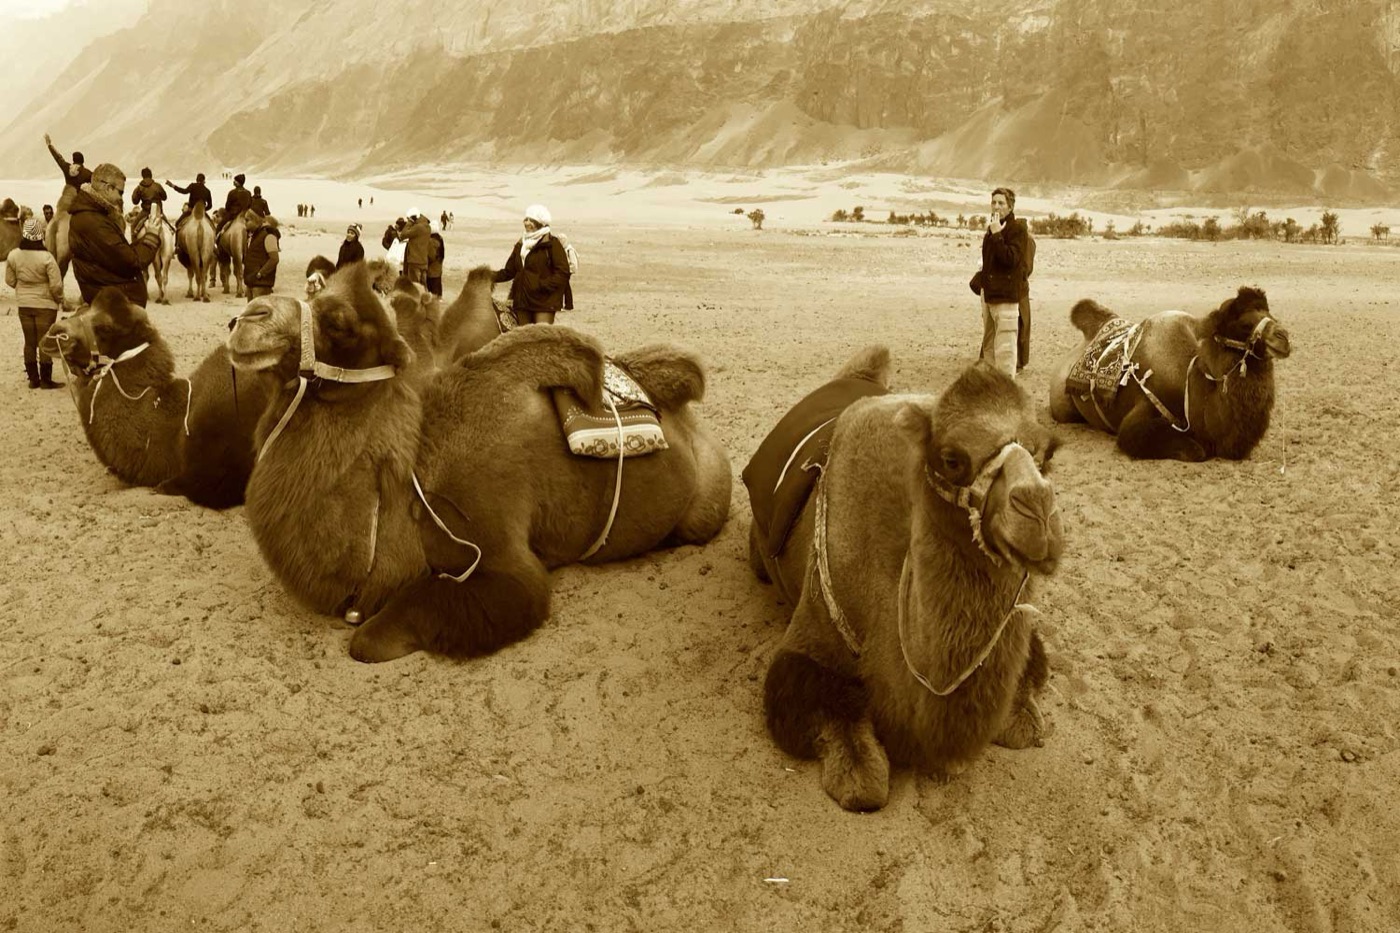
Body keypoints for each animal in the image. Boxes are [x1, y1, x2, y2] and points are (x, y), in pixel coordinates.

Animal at [226, 263, 732, 662]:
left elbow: (369, 638)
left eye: (340, 321)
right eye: (315, 292)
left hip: (707, 500)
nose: (247, 317)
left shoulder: (499, 550)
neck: (409, 484)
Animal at [748, 349, 1064, 811]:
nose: (1038, 515)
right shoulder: (812, 635)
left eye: (1047, 454)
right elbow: (861, 777)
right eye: (951, 458)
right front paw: (857, 772)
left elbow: (1029, 700)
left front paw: (1023, 717)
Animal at [1048, 287, 1292, 461]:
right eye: (1244, 324)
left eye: (1271, 315)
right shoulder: (1142, 413)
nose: (1283, 337)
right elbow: (1196, 451)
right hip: (1062, 406)